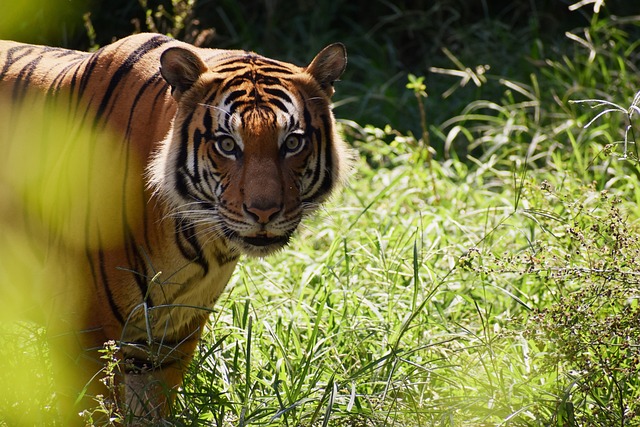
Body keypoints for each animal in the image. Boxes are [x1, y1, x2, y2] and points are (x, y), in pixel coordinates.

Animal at [0, 31, 350, 422]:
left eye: (292, 142)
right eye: (227, 144)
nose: (264, 212)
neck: (197, 242)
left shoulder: (167, 338)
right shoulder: (82, 328)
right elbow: (94, 412)